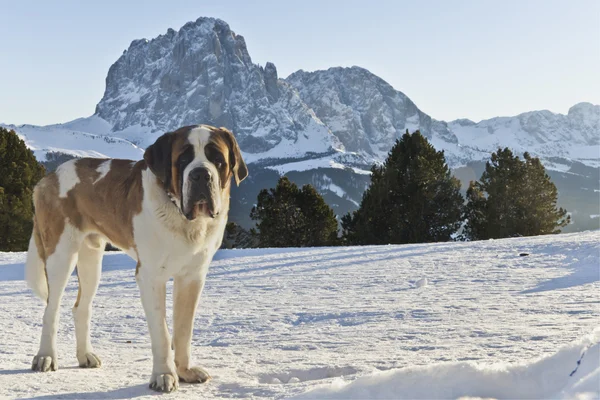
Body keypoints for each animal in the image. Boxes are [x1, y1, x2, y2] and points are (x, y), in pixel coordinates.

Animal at [24, 123, 247, 392]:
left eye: (218, 159)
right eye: (183, 159)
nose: (201, 174)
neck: (181, 216)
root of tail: (50, 176)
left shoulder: (192, 277)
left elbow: (184, 330)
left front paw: (185, 371)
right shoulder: (150, 276)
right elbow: (162, 332)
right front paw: (164, 376)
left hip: (91, 259)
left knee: (81, 307)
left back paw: (85, 356)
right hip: (61, 253)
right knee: (52, 308)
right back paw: (45, 357)